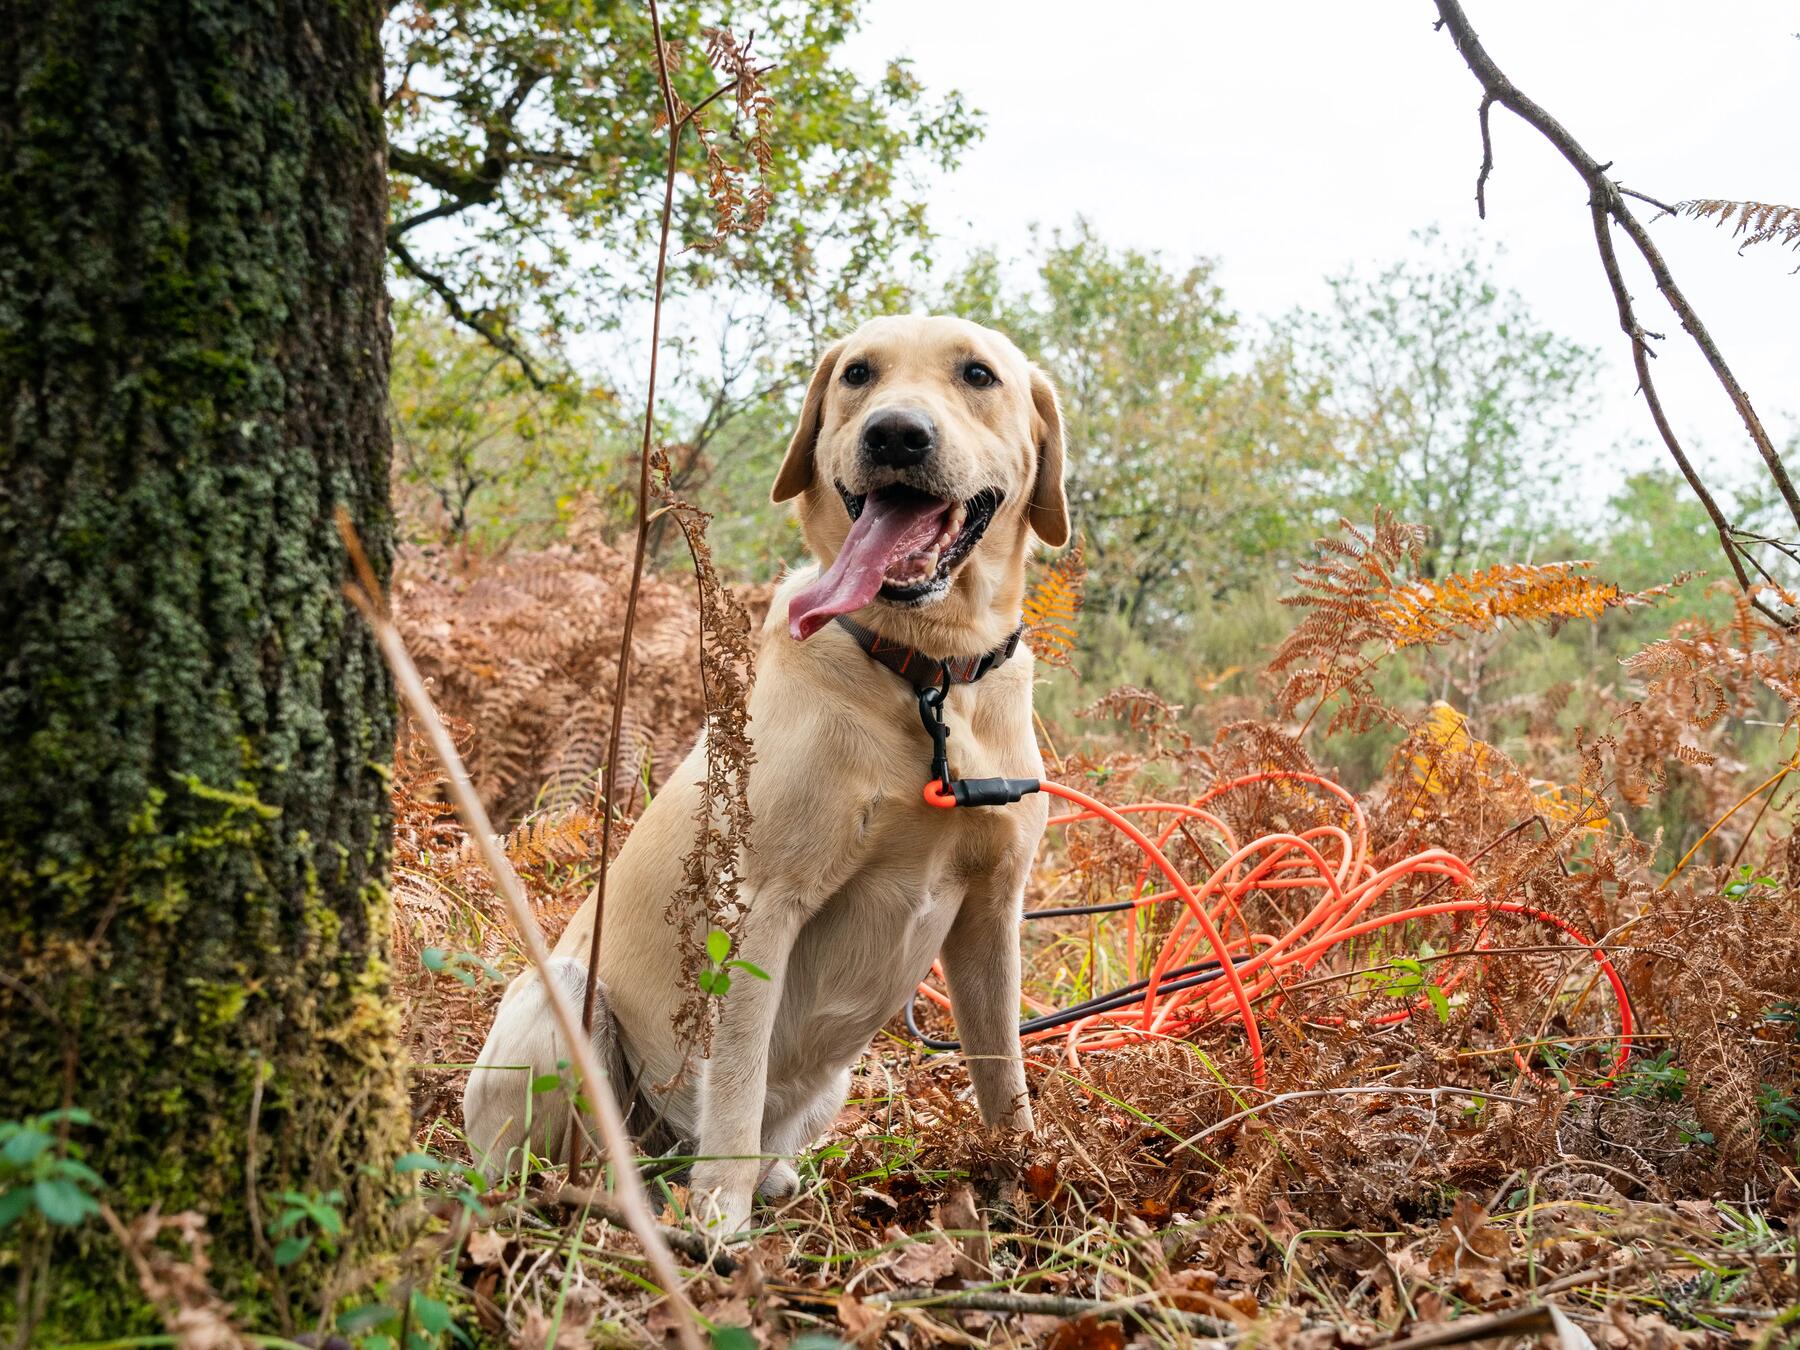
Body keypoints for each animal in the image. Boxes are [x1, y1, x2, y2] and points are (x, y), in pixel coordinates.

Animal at [464, 315, 1065, 1238]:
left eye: (977, 375)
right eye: (858, 374)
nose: (896, 433)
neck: (925, 673)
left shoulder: (994, 911)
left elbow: (1003, 1070)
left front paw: (1023, 1181)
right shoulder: (760, 906)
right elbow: (739, 1081)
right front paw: (721, 1222)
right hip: (561, 999)